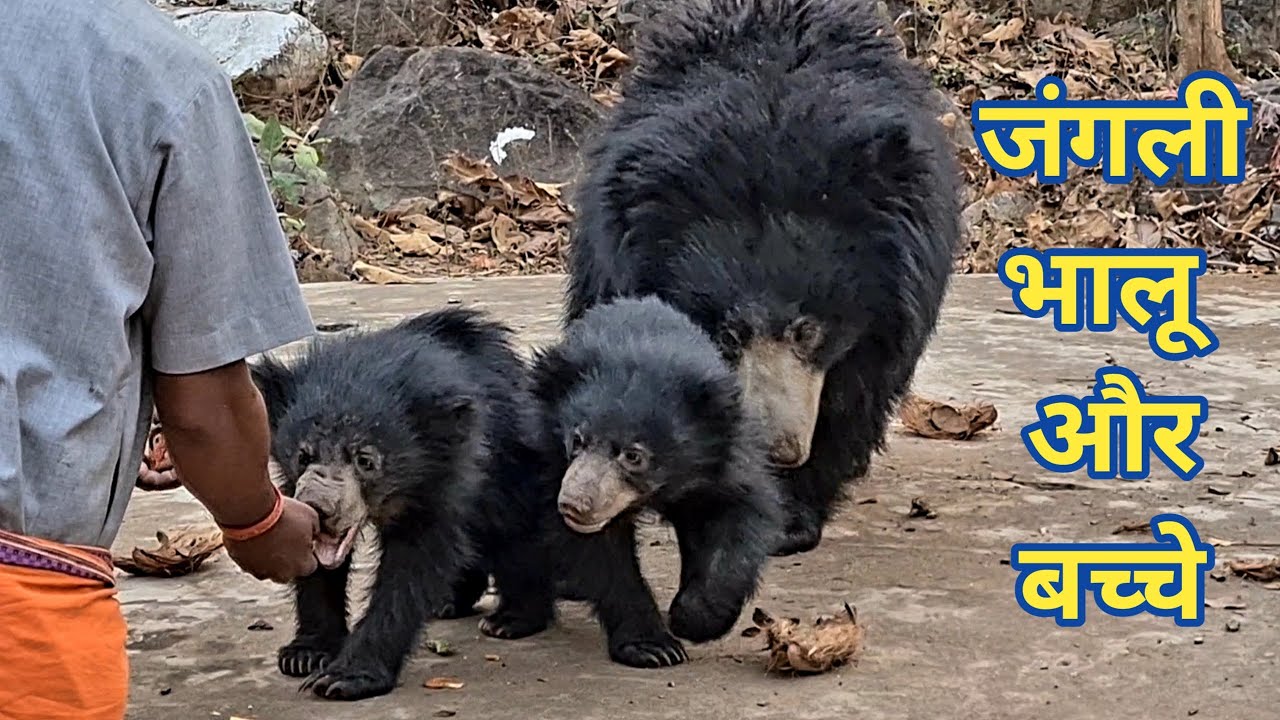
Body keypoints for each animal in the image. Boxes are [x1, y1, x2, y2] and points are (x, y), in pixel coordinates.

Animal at [249, 307, 556, 701]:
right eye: (303, 455)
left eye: (365, 460)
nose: (319, 507)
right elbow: (317, 567)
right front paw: (305, 654)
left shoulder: (442, 478)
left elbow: (411, 567)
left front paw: (344, 677)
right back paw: (450, 602)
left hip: (512, 467)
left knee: (514, 533)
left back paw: (511, 619)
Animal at [528, 296, 783, 668]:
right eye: (577, 439)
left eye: (633, 456)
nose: (574, 505)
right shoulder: (551, 454)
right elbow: (602, 555)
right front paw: (654, 647)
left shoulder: (726, 458)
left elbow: (738, 520)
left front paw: (692, 619)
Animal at [563, 0, 963, 557]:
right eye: (729, 333)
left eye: (807, 330)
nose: (779, 450)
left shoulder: (892, 306)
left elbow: (852, 394)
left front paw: (791, 517)